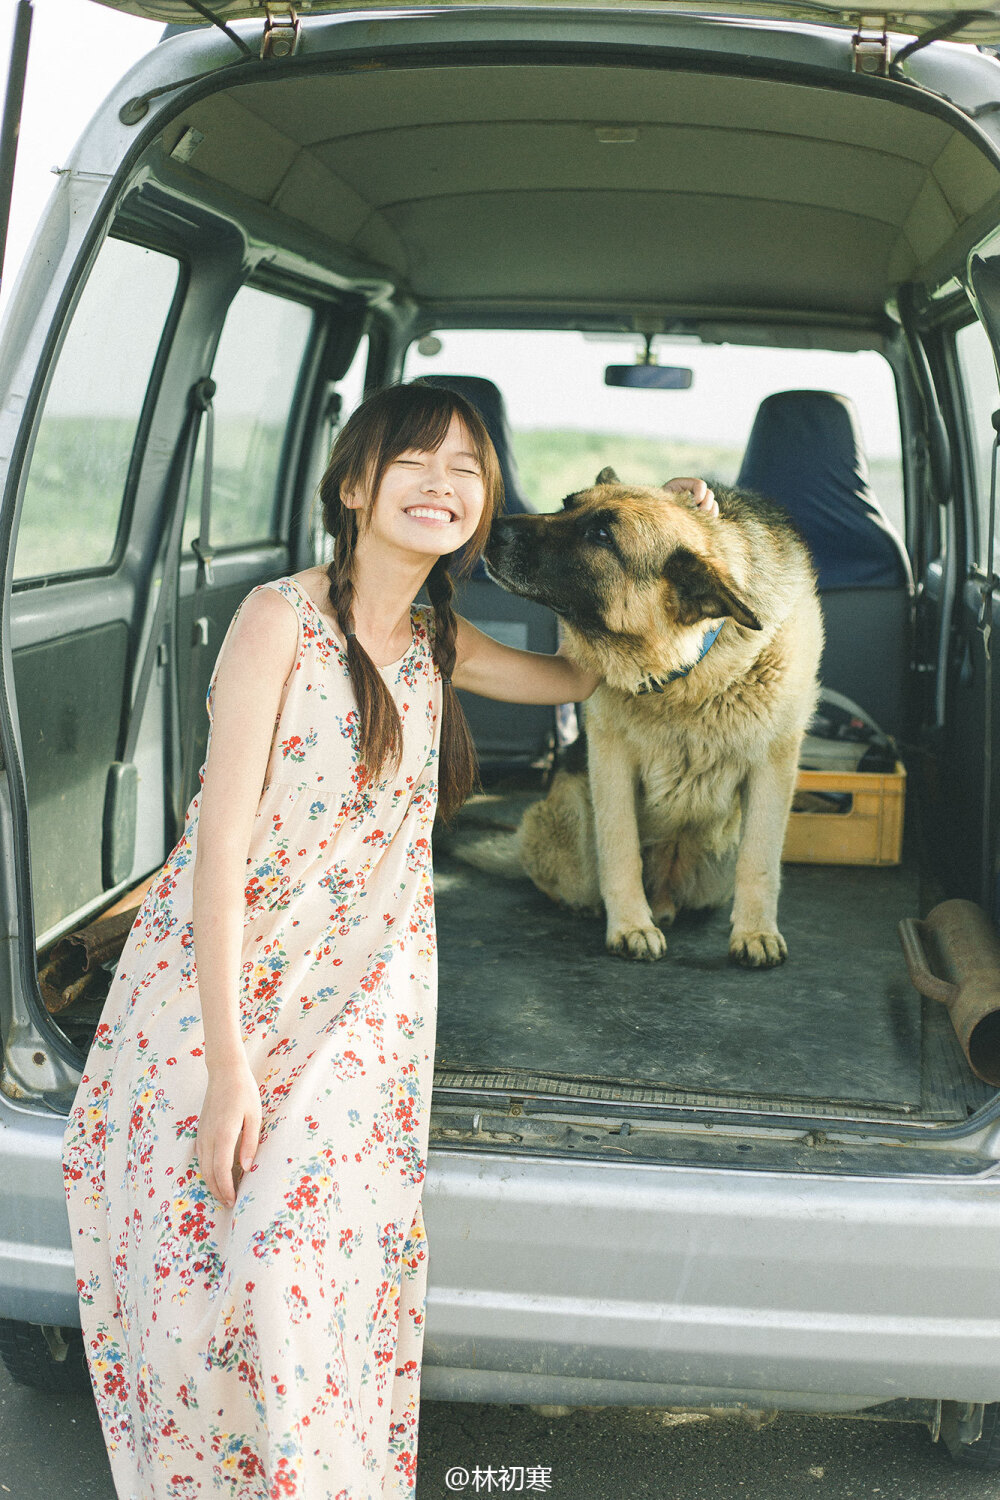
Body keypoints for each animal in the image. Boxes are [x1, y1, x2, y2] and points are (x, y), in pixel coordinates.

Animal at [482, 468, 821, 966]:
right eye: (566, 505)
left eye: (602, 536)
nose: (490, 529)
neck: (690, 672)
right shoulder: (611, 760)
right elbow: (620, 847)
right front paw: (629, 926)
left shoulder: (773, 766)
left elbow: (760, 860)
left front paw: (755, 932)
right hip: (572, 822)